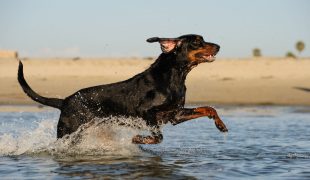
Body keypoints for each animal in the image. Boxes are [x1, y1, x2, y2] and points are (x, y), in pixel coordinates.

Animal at [18, 34, 229, 145]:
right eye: (197, 41)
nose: (219, 46)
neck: (174, 76)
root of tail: (65, 101)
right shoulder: (146, 112)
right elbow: (158, 136)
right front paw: (138, 139)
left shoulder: (174, 114)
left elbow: (208, 108)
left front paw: (220, 125)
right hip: (69, 132)